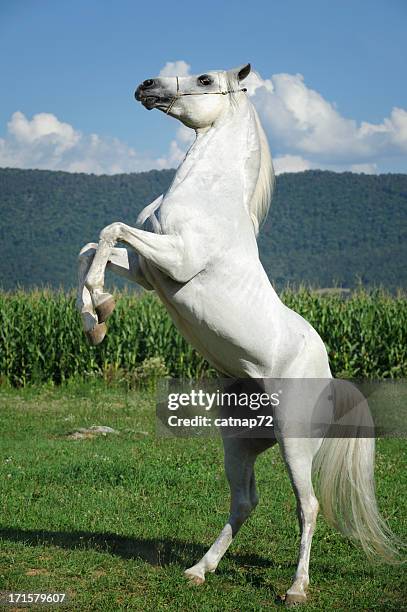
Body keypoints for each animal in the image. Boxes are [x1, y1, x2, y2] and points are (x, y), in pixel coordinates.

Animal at [77, 64, 402, 604]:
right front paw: (94, 319)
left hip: (295, 444)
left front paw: (99, 307)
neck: (209, 195)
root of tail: (331, 381)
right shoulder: (147, 269)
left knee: (307, 505)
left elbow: (109, 230)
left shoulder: (174, 260)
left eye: (205, 79)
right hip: (239, 443)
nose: (146, 87)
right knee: (245, 501)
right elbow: (90, 248)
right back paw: (198, 570)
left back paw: (296, 589)